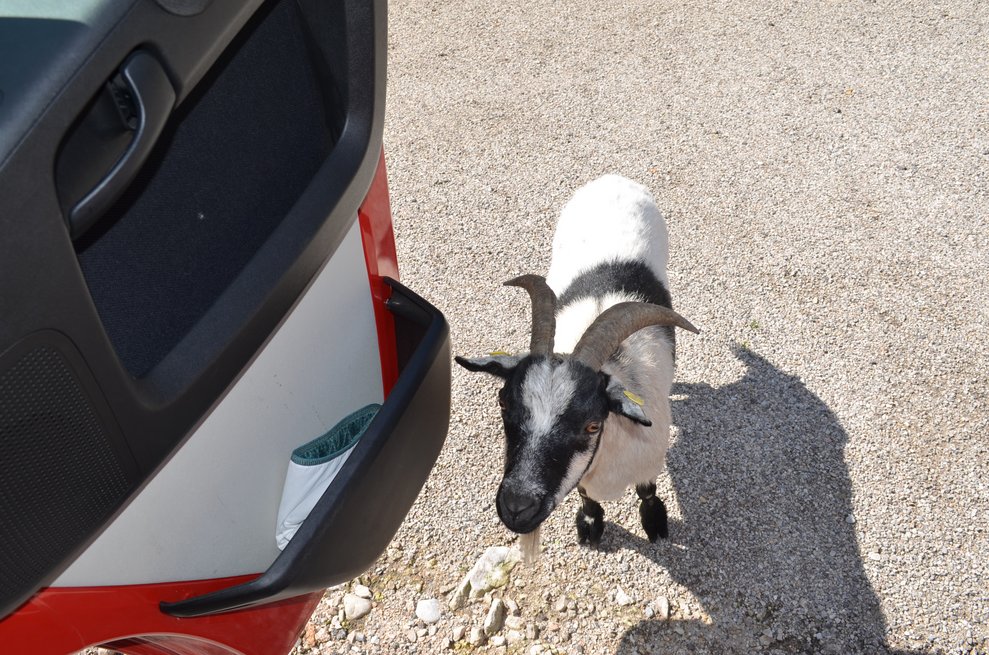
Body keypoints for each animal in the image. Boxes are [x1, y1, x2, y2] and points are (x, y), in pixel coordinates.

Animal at [456, 175, 698, 557]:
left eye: (592, 425)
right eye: (503, 402)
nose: (517, 508)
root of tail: (613, 177)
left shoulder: (649, 461)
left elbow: (647, 490)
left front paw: (654, 523)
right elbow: (586, 497)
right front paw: (590, 525)